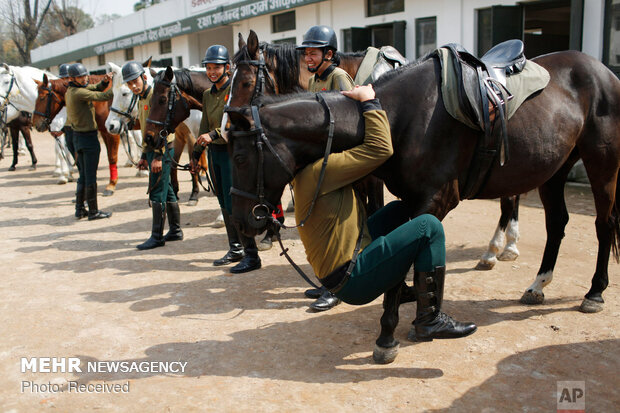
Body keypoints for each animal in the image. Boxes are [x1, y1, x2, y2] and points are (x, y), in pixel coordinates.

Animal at [228, 50, 620, 362]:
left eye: (242, 157)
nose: (243, 222)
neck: (404, 117)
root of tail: (603, 69)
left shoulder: (433, 201)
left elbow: (404, 269)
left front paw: (388, 335)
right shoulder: (409, 200)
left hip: (602, 167)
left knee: (603, 225)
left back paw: (594, 291)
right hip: (553, 171)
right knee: (556, 223)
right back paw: (537, 283)